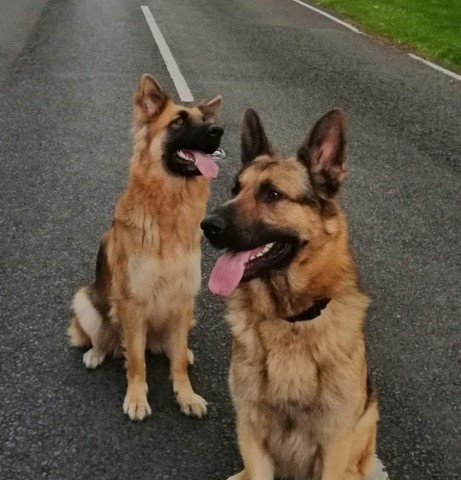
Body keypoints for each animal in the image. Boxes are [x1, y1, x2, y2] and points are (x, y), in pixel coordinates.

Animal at [68, 73, 225, 422]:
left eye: (205, 120)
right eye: (178, 122)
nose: (218, 131)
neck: (169, 210)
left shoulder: (182, 299)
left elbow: (177, 362)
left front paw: (186, 395)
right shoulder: (133, 304)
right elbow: (137, 361)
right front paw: (137, 398)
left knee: (171, 348)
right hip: (85, 301)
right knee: (104, 339)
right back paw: (96, 353)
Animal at [201, 109, 378, 480]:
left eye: (272, 194)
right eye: (235, 189)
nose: (207, 226)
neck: (290, 320)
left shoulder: (334, 445)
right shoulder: (252, 433)